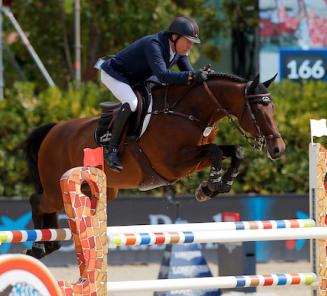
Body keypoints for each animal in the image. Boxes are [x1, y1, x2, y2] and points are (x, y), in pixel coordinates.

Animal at [25, 73, 288, 258]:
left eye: (273, 107)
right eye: (258, 108)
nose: (278, 149)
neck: (189, 113)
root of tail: (54, 129)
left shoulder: (192, 158)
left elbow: (234, 151)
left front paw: (215, 186)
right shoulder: (173, 164)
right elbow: (215, 151)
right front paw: (210, 186)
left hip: (100, 190)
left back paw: (49, 244)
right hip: (55, 187)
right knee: (38, 201)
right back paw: (39, 246)